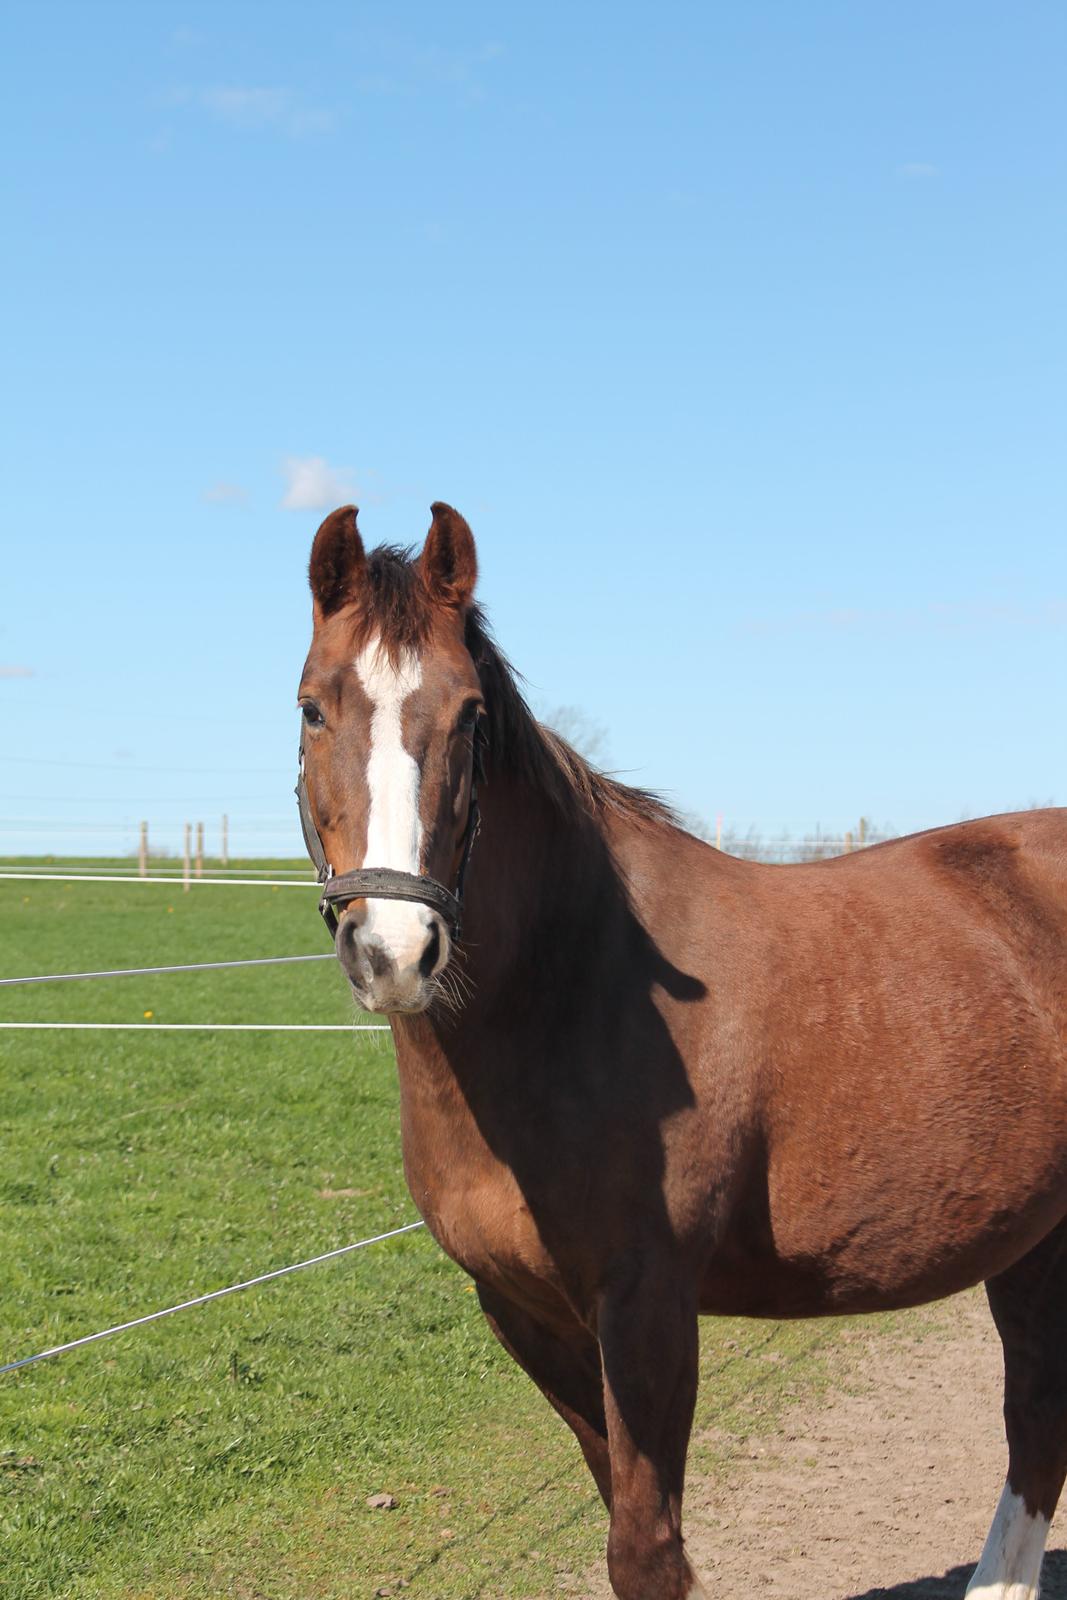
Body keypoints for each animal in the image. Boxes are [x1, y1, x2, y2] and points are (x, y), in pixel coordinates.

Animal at [295, 502, 1067, 1600]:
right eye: (314, 709)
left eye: (471, 716)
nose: (395, 949)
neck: (574, 985)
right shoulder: (526, 1312)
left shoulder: (647, 1304)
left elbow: (646, 1549)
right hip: (1032, 1237)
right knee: (1035, 1422)